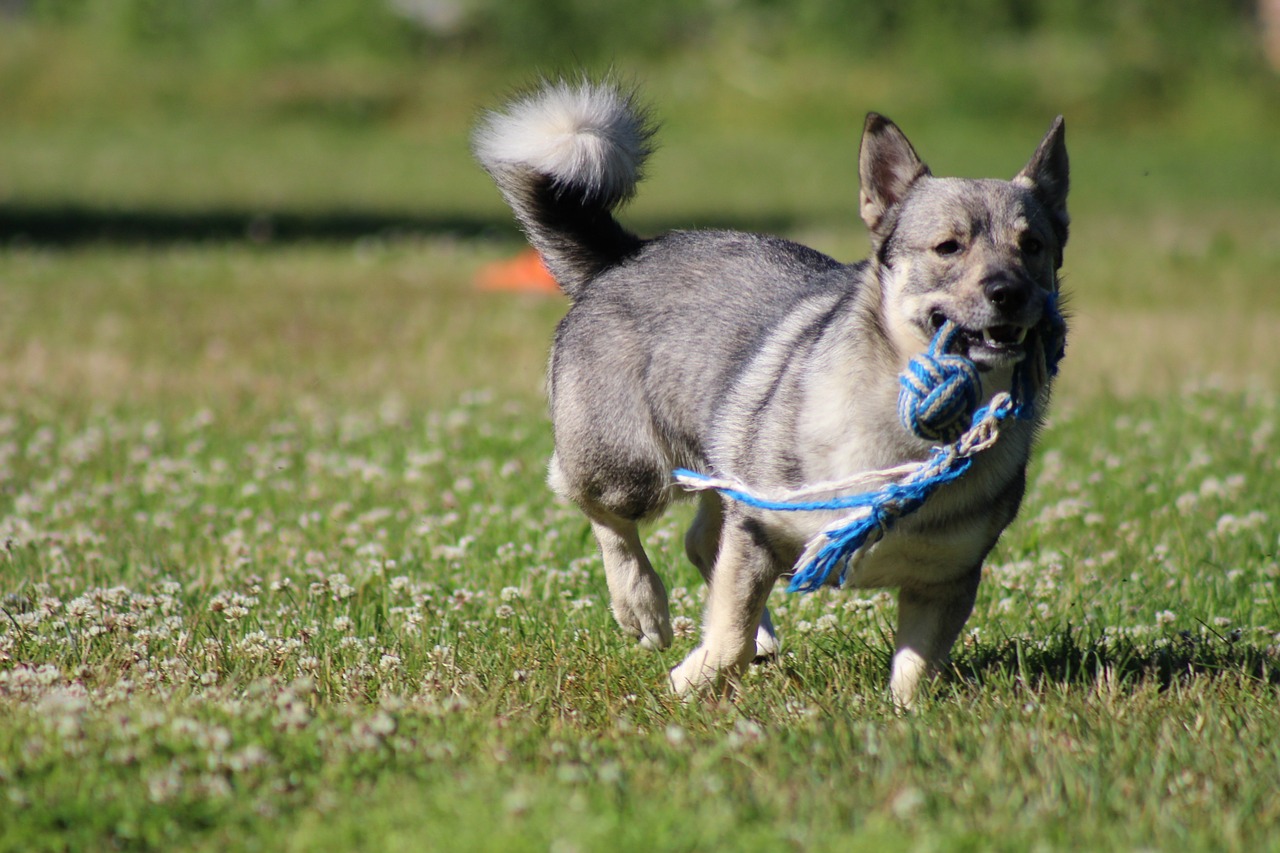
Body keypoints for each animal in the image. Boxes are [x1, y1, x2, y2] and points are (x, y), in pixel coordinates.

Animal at [476, 79, 1064, 701]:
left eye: (1033, 246)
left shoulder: (946, 580)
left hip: (720, 459)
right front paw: (692, 680)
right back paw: (642, 605)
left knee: (701, 542)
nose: (1008, 292)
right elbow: (728, 632)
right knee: (594, 504)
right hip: (631, 470)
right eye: (949, 247)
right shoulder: (758, 531)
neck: (908, 440)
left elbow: (915, 670)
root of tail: (624, 255)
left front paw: (906, 713)